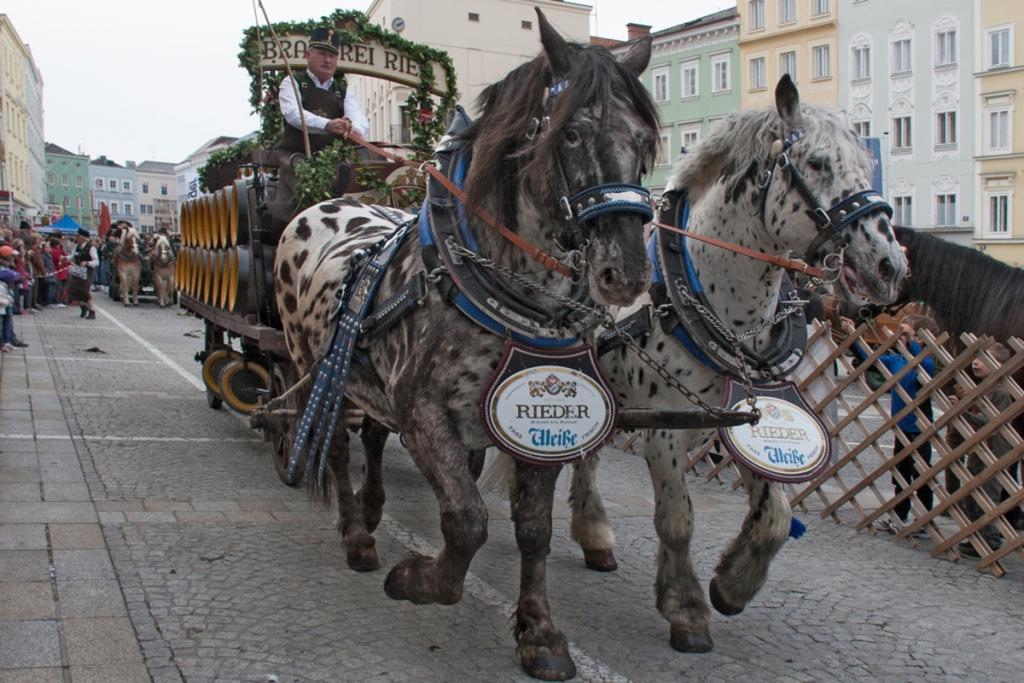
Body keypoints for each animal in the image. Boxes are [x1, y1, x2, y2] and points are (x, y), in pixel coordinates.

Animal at [569, 76, 913, 655]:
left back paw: (594, 536)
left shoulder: (750, 416)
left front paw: (733, 584)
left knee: (586, 461)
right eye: (817, 162)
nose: (888, 263)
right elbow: (677, 520)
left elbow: (776, 515)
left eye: (865, 164)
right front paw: (685, 609)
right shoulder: (665, 432)